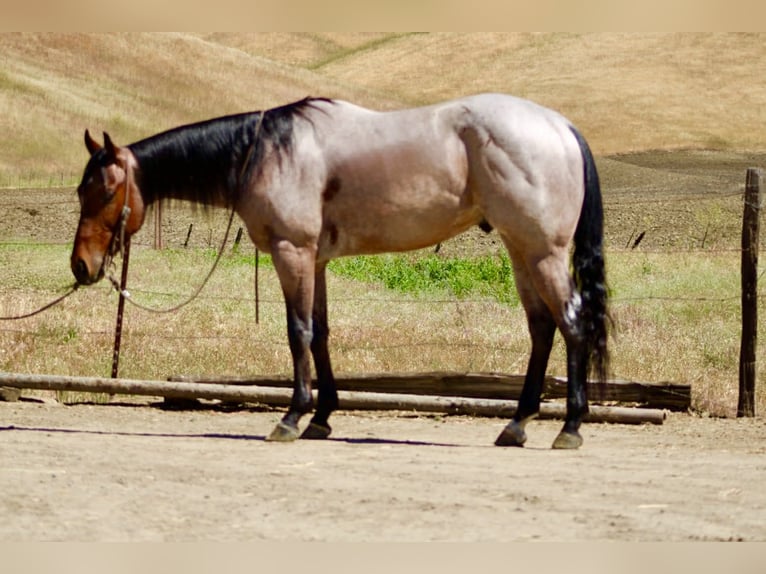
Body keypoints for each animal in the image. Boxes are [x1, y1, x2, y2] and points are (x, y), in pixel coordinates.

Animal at [71, 94, 609, 449]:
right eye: (81, 190)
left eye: (104, 191)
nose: (81, 265)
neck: (266, 152)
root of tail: (560, 126)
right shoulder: (318, 260)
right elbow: (321, 333)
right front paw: (322, 418)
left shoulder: (292, 252)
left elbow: (298, 332)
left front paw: (292, 417)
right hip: (521, 251)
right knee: (542, 328)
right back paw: (516, 425)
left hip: (542, 253)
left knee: (572, 325)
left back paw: (570, 427)